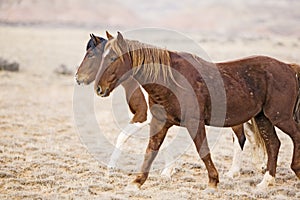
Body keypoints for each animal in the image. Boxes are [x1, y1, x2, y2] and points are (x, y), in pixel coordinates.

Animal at [94, 32, 300, 191]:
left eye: (113, 58)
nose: (98, 88)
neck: (171, 81)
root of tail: (288, 67)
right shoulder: (160, 123)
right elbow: (150, 151)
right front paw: (136, 182)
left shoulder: (195, 123)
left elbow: (203, 151)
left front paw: (213, 182)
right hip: (263, 118)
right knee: (273, 144)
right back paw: (266, 182)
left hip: (280, 118)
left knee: (294, 136)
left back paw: (295, 170)